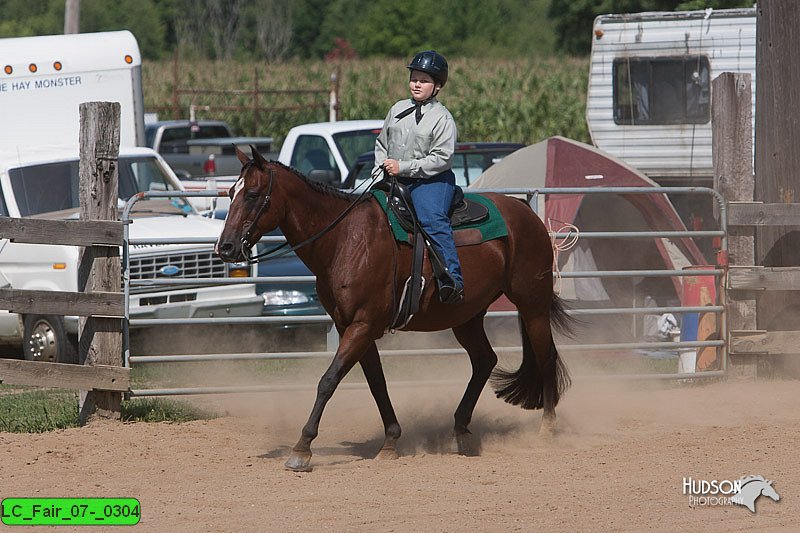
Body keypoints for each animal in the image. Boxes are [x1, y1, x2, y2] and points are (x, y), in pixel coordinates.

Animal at [216, 145, 572, 470]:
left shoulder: (362, 326)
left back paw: (546, 431)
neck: (345, 239)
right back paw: (461, 431)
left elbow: (328, 381)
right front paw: (390, 441)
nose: (226, 247)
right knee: (485, 360)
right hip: (467, 316)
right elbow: (377, 383)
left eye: (252, 194)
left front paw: (302, 449)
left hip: (532, 304)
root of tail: (526, 213)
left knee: (545, 357)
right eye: (231, 193)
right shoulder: (352, 327)